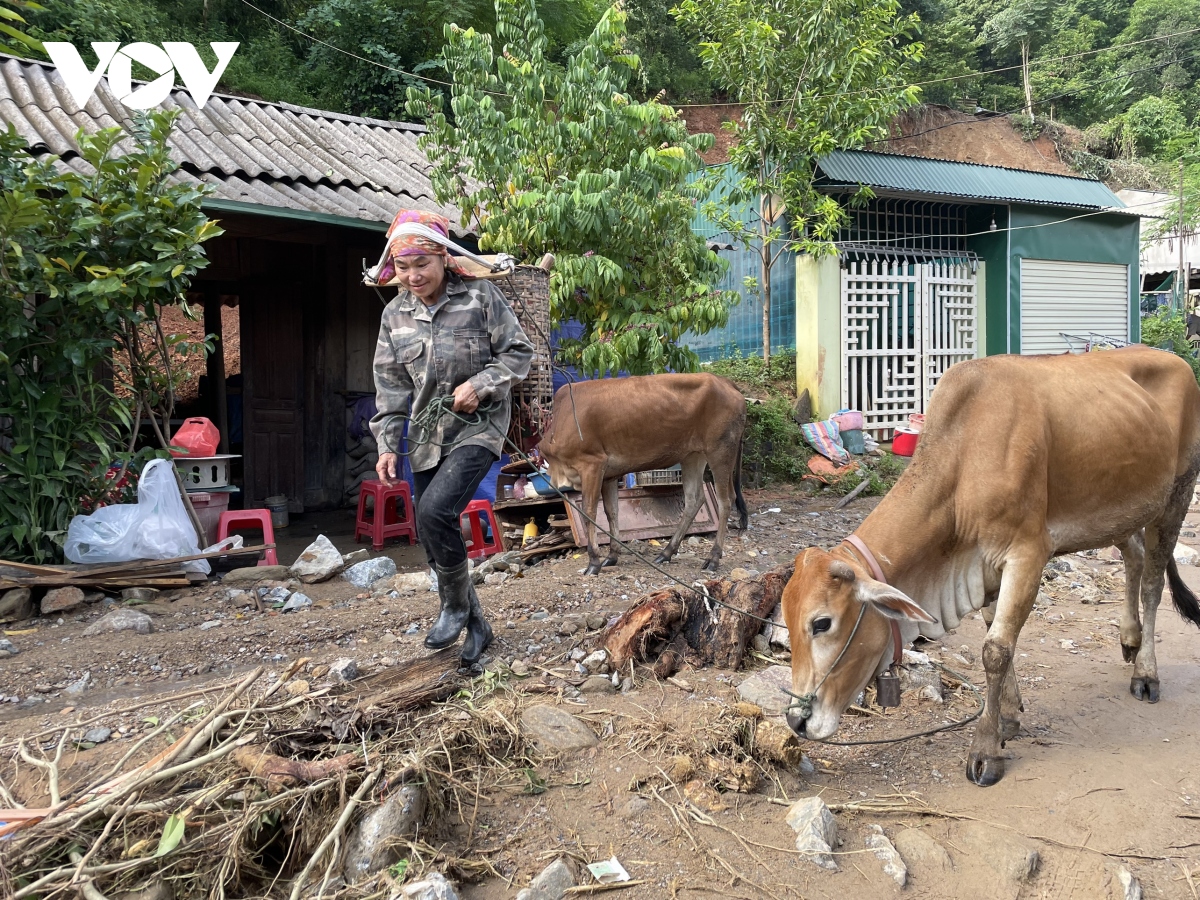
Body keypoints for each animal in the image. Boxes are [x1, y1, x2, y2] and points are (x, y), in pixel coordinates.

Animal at [540, 374, 744, 578]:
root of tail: (723, 381)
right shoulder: (609, 475)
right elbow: (611, 512)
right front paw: (611, 556)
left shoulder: (592, 464)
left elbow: (589, 512)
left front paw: (594, 562)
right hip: (693, 455)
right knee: (695, 499)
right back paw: (666, 552)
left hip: (720, 451)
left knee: (725, 501)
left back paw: (713, 558)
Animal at [777, 348, 1200, 787]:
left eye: (821, 623)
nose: (797, 721)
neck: (964, 461)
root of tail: (1175, 360)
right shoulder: (984, 565)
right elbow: (993, 631)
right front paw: (1008, 720)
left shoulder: (1027, 554)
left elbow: (996, 650)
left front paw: (985, 749)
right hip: (1121, 510)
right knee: (1133, 557)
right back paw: (1129, 639)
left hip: (1178, 493)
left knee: (1152, 583)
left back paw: (1146, 672)